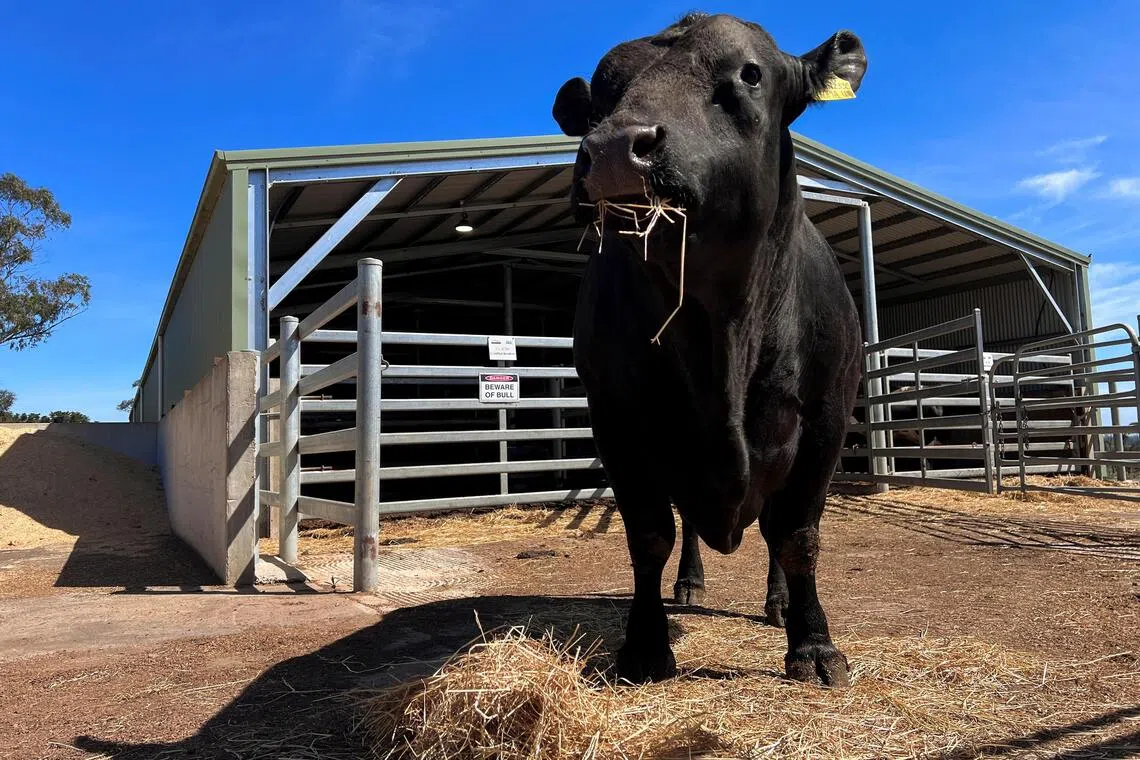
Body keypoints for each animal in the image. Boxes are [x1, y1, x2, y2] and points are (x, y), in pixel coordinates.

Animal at [552, 12, 867, 686]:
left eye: (749, 74)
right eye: (601, 96)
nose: (614, 148)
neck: (720, 332)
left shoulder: (827, 416)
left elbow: (797, 534)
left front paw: (814, 645)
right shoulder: (616, 419)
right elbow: (649, 534)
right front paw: (645, 646)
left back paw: (777, 605)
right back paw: (690, 586)